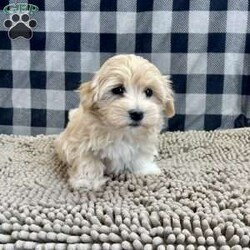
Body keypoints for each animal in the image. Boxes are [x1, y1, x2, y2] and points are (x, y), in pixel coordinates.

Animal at [54, 54, 175, 190]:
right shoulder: (80, 145)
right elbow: (89, 162)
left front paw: (145, 170)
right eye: (118, 90)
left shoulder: (144, 143)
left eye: (149, 91)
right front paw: (87, 181)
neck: (121, 132)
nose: (137, 114)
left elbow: (140, 156)